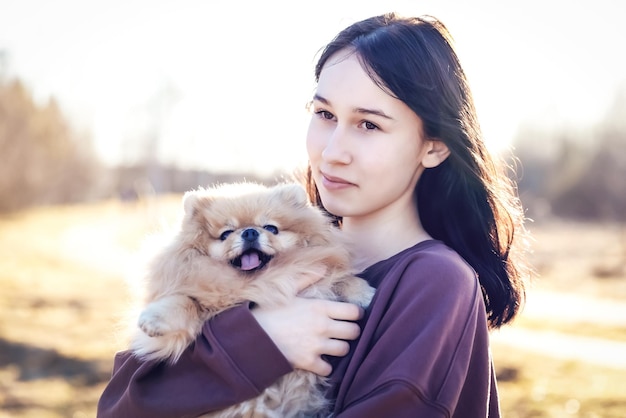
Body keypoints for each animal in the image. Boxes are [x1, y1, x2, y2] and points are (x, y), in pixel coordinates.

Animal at [127, 182, 370, 418]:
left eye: (271, 228)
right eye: (226, 233)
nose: (250, 232)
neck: (256, 283)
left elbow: (339, 278)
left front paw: (363, 292)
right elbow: (186, 301)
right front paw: (154, 319)